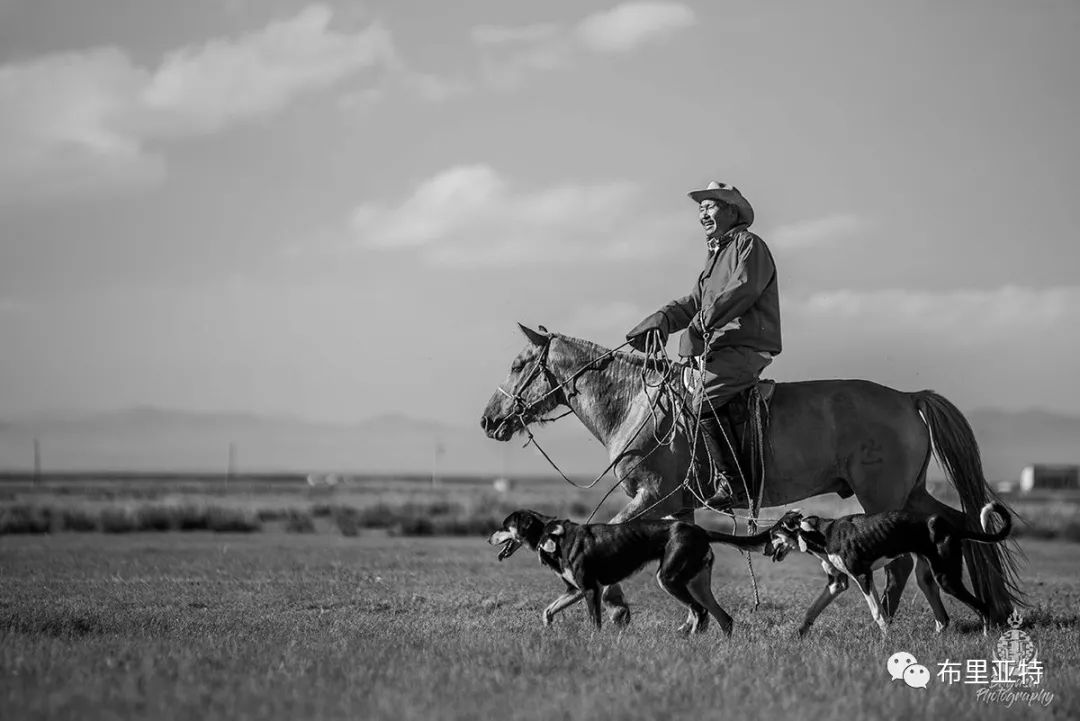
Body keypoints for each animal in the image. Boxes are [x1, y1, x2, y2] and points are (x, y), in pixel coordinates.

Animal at [488, 509, 794, 634]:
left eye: (504, 525)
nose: (489, 538)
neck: (551, 535)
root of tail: (698, 529)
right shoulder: (574, 590)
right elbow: (548, 610)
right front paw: (548, 630)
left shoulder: (590, 589)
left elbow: (595, 621)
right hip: (698, 583)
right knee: (723, 618)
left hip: (669, 579)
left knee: (700, 612)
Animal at [768, 500, 1010, 634]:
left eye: (773, 533)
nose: (766, 551)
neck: (822, 533)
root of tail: (950, 527)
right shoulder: (837, 584)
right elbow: (812, 610)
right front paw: (799, 635)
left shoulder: (863, 576)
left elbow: (878, 612)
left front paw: (887, 640)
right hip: (928, 579)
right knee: (943, 619)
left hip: (946, 578)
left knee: (983, 607)